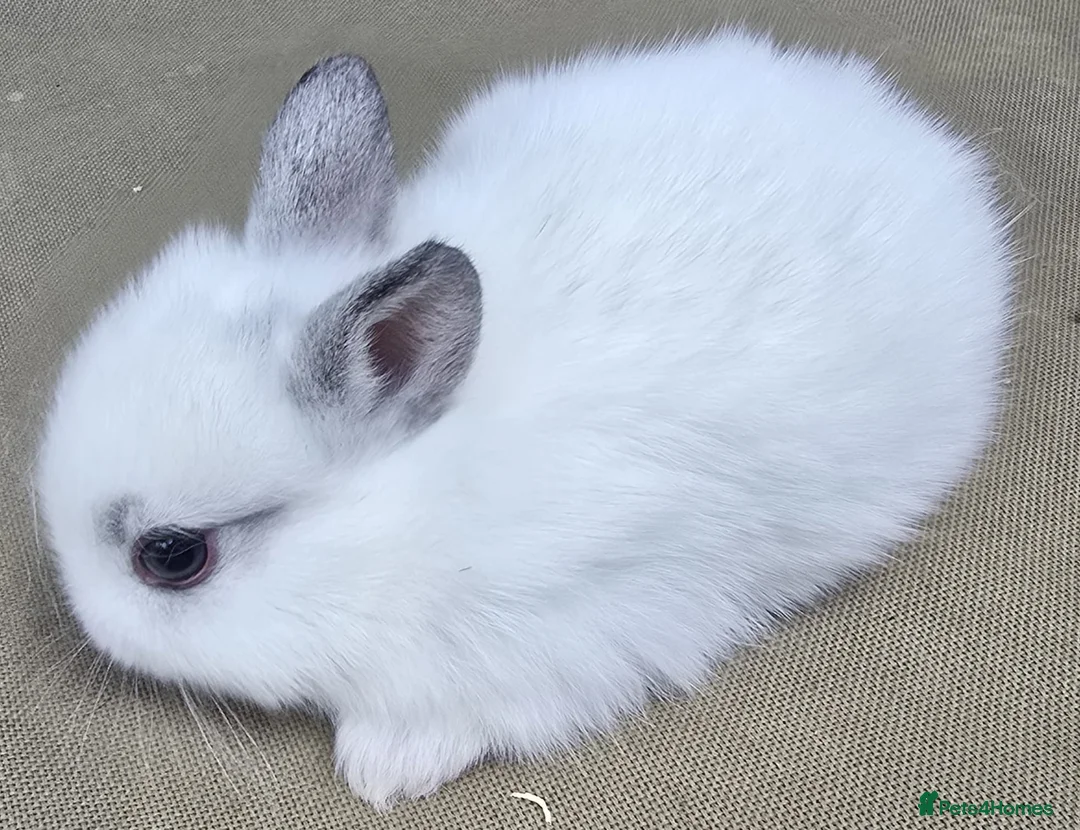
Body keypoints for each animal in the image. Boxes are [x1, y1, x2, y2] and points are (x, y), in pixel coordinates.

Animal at [34, 31, 1015, 809]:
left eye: (172, 557)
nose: (80, 618)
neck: (400, 514)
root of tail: (914, 136)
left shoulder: (574, 631)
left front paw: (383, 770)